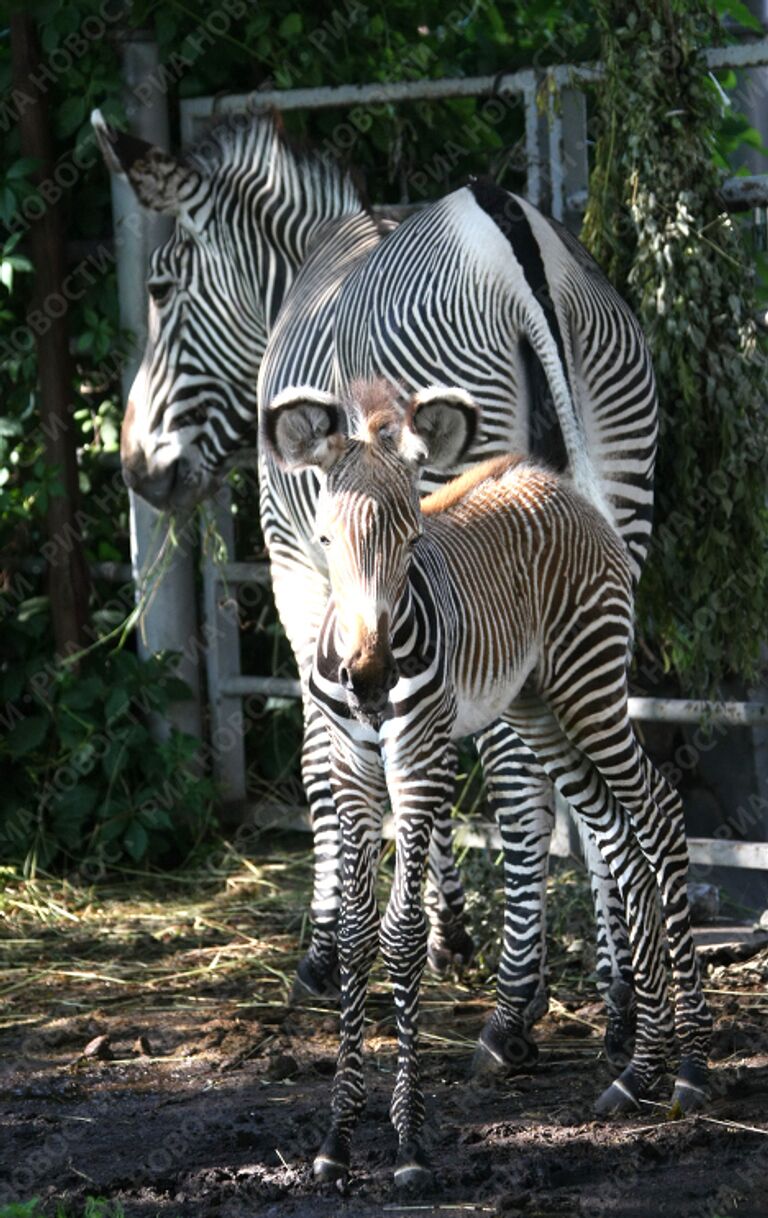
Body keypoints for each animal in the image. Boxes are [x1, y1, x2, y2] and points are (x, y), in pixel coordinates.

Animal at [94, 109, 657, 1071]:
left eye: (162, 288)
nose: (136, 470)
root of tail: (515, 246)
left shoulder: (301, 564)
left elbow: (325, 750)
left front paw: (332, 947)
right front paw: (442, 926)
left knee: (518, 773)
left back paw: (515, 1010)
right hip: (609, 516)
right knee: (588, 757)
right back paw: (620, 1000)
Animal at [267, 377, 710, 1188]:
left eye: (413, 545)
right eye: (326, 544)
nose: (370, 680)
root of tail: (552, 481)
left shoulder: (416, 762)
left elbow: (403, 934)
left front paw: (409, 1144)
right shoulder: (353, 771)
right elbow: (355, 936)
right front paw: (337, 1140)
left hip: (589, 684)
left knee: (659, 812)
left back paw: (690, 1064)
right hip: (538, 706)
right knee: (617, 838)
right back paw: (640, 1068)